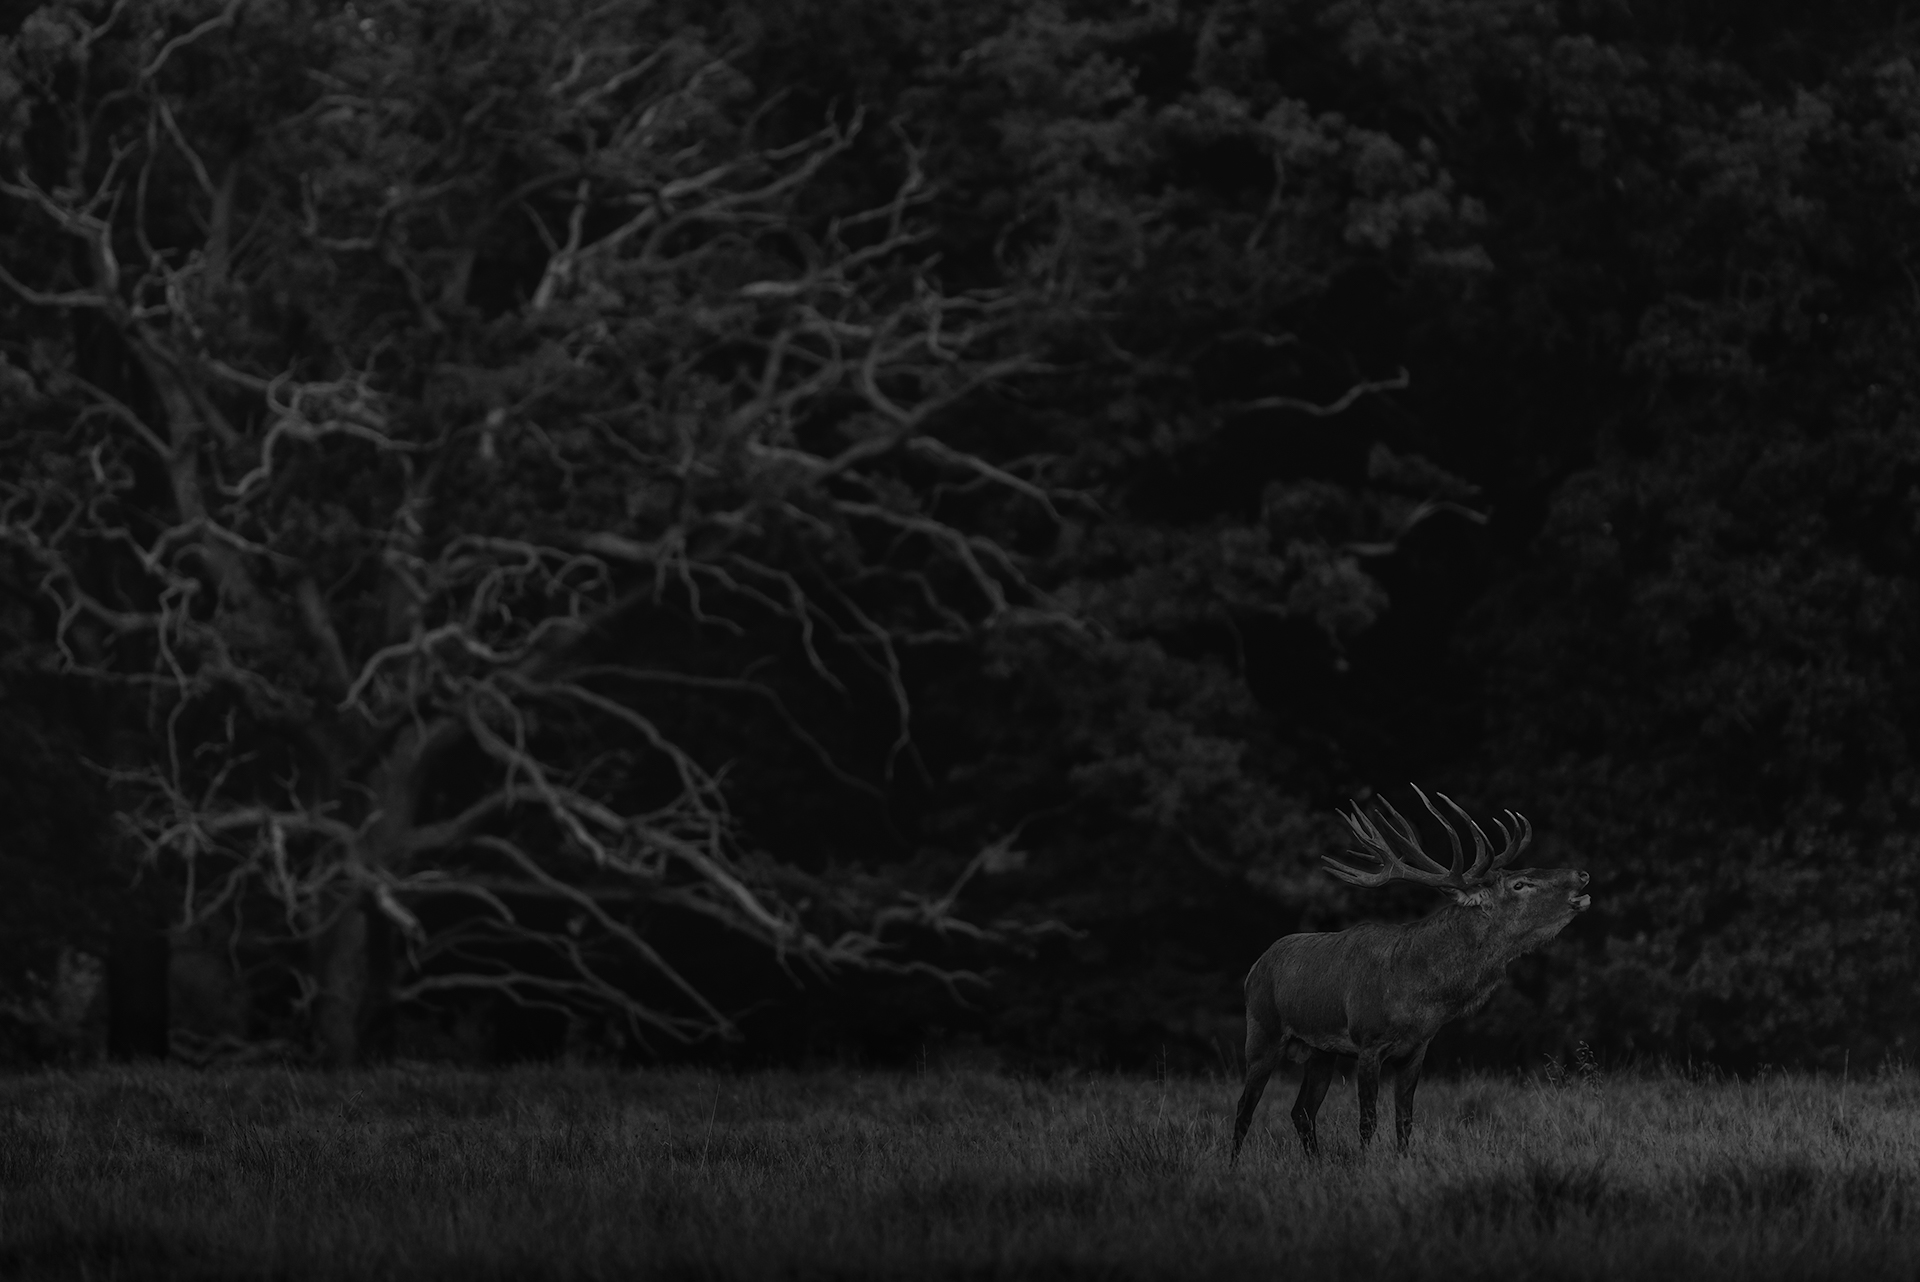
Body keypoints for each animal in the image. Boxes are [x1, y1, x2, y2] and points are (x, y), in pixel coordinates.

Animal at [1230, 787, 1590, 1160]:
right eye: (1520, 884)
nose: (1581, 874)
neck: (1419, 994)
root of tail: (1253, 969)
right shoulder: (1368, 1041)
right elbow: (1368, 1120)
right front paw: (1365, 1163)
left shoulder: (1417, 1049)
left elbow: (1405, 1119)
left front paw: (1403, 1162)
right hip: (1262, 1032)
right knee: (1244, 1108)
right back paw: (1233, 1164)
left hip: (1319, 1052)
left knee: (1301, 1111)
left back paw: (1314, 1161)